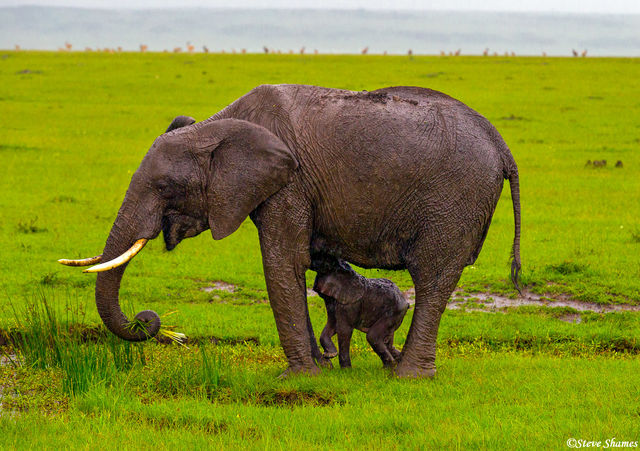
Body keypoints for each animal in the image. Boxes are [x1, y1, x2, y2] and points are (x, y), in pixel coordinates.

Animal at [59, 84, 522, 378]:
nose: (149, 320)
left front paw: (299, 378)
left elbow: (282, 263)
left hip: (455, 199)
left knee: (432, 279)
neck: (219, 124)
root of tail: (503, 147)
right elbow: (303, 263)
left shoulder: (289, 184)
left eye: (164, 187)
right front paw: (321, 366)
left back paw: (408, 377)